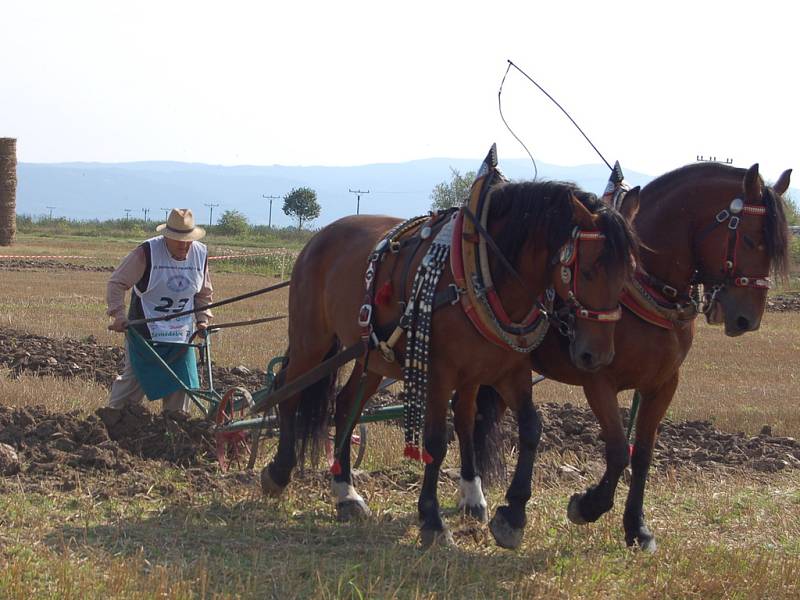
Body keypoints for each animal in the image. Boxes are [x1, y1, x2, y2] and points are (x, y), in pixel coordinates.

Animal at [260, 169, 636, 544]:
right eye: (588, 270)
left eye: (627, 274)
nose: (597, 355)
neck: (482, 274)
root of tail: (321, 236)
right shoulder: (439, 373)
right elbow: (437, 441)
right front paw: (432, 518)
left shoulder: (504, 372)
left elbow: (516, 426)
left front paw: (504, 511)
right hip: (311, 340)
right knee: (288, 392)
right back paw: (279, 472)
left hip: (375, 357)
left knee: (345, 405)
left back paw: (346, 493)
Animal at [466, 161, 792, 552]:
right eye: (750, 239)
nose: (748, 319)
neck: (642, 288)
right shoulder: (598, 380)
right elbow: (620, 450)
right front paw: (587, 506)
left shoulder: (663, 384)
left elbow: (644, 453)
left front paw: (637, 527)